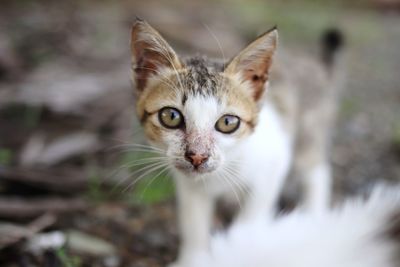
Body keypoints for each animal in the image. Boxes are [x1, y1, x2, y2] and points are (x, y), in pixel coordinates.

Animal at [130, 18, 344, 266]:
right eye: (171, 116)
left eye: (228, 122)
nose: (197, 156)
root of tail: (311, 61)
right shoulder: (189, 186)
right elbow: (193, 224)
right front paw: (192, 259)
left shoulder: (274, 165)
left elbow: (249, 224)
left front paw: (238, 252)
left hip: (309, 131)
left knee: (317, 170)